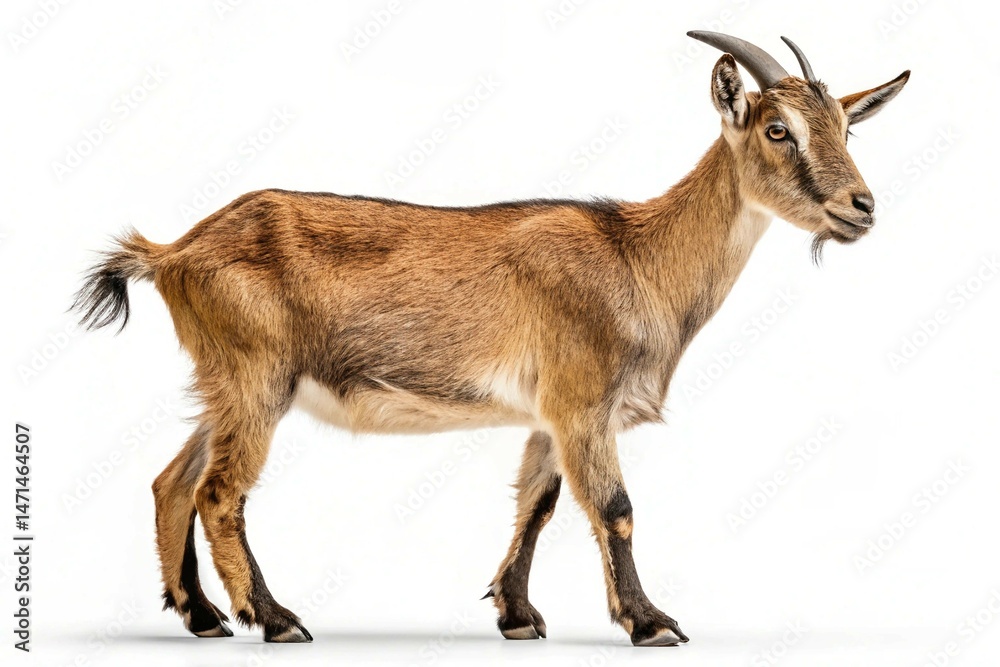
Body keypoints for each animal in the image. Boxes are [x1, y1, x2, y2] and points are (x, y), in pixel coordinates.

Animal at [74, 31, 909, 645]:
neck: (636, 255)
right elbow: (614, 505)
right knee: (220, 492)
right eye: (778, 129)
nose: (861, 206)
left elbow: (537, 501)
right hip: (256, 379)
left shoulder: (550, 414)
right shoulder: (582, 402)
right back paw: (275, 619)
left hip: (226, 383)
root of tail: (173, 251)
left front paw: (518, 615)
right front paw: (651, 622)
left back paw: (201, 615)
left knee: (172, 480)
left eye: (845, 127)